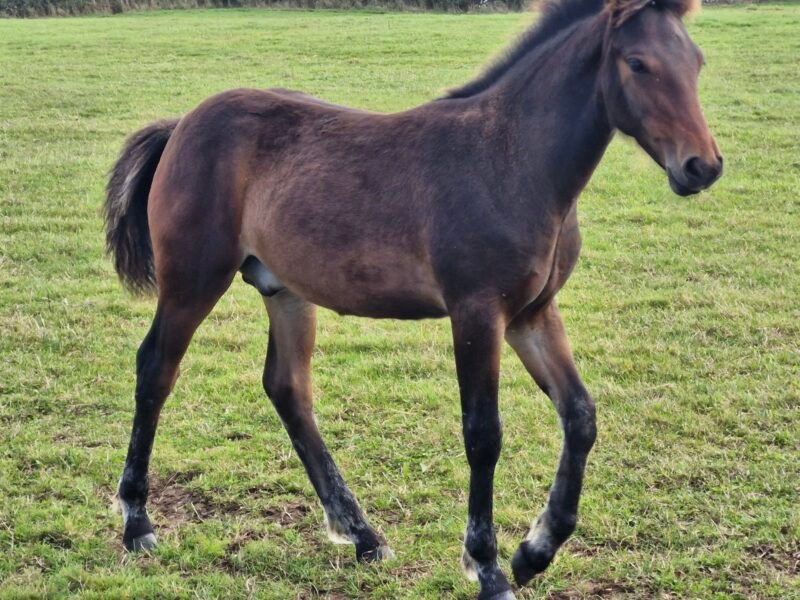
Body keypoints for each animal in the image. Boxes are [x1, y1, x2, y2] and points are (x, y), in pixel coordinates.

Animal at [104, 0, 722, 597]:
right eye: (638, 63)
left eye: (697, 61)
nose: (703, 166)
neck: (512, 159)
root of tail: (183, 123)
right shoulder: (477, 312)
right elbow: (483, 434)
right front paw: (488, 567)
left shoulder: (532, 314)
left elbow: (580, 415)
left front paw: (535, 551)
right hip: (193, 280)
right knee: (156, 369)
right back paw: (138, 522)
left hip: (286, 292)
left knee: (288, 388)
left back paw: (362, 534)